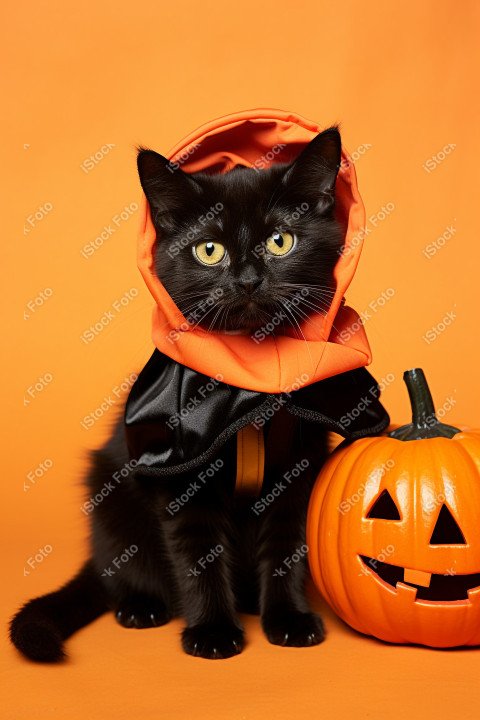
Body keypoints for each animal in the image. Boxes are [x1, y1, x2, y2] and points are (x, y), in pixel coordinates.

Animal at [9, 126, 384, 660]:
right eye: (209, 250)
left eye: (280, 241)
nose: (247, 280)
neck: (248, 389)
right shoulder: (181, 475)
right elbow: (198, 554)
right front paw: (211, 632)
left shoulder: (297, 468)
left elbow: (286, 547)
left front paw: (289, 620)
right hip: (111, 503)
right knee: (120, 572)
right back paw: (140, 606)